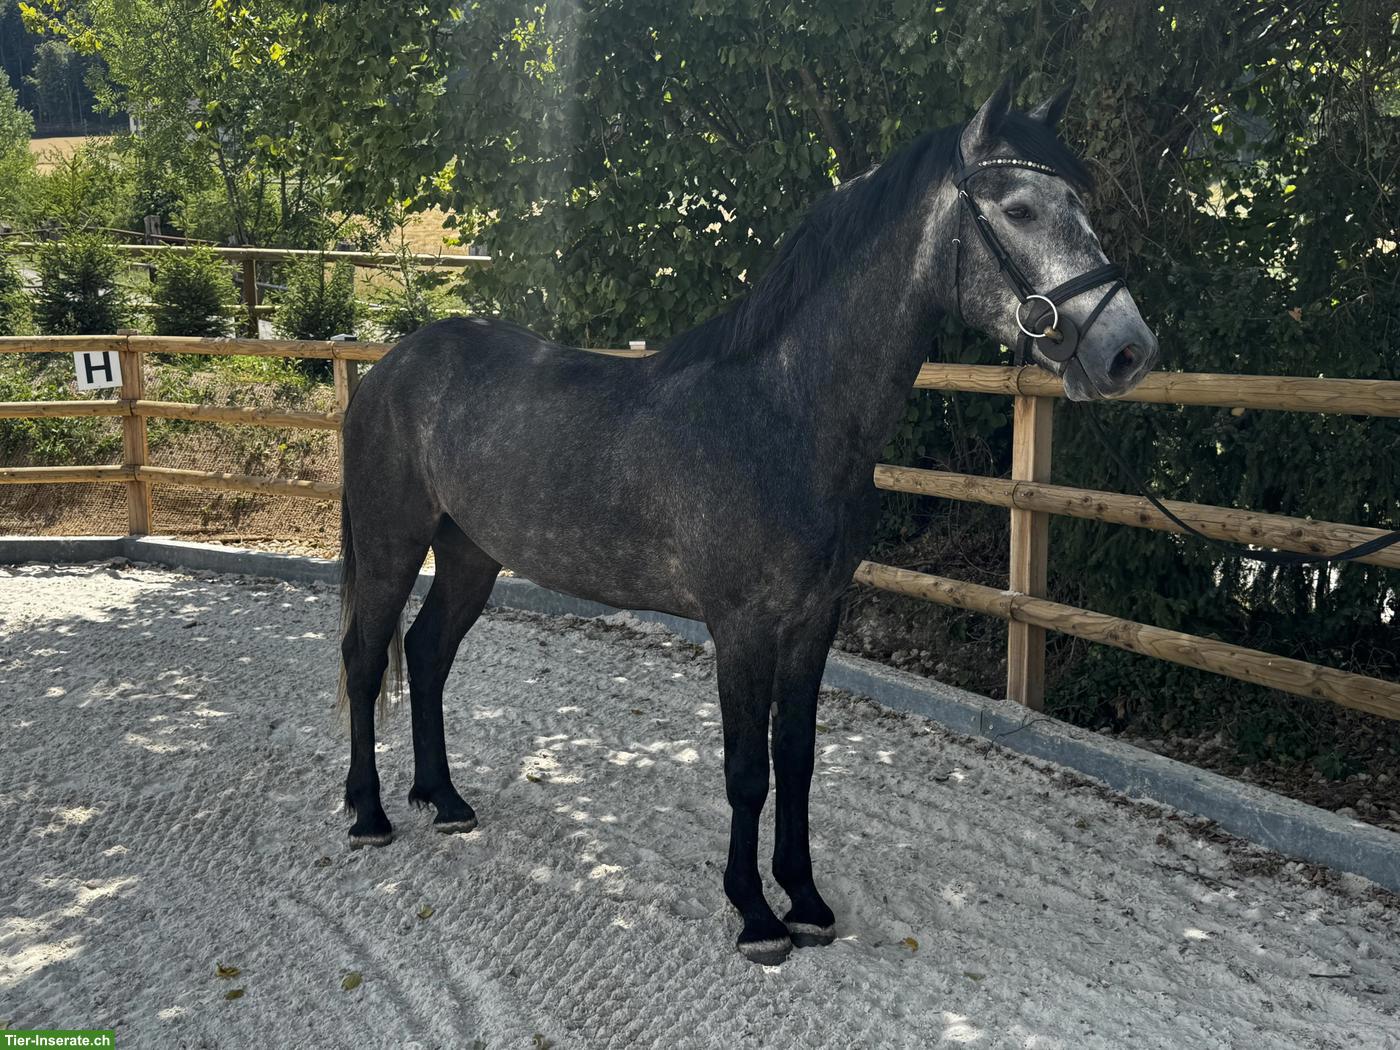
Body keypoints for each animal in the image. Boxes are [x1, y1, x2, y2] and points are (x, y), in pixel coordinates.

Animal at [337, 80, 1159, 966]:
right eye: (1020, 208)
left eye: (1080, 204)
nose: (1128, 350)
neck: (783, 417)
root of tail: (391, 365)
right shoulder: (740, 627)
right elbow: (745, 771)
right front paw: (756, 915)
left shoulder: (814, 620)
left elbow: (795, 759)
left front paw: (806, 900)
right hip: (390, 546)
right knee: (364, 660)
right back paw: (369, 813)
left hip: (469, 556)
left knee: (425, 652)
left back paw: (444, 799)